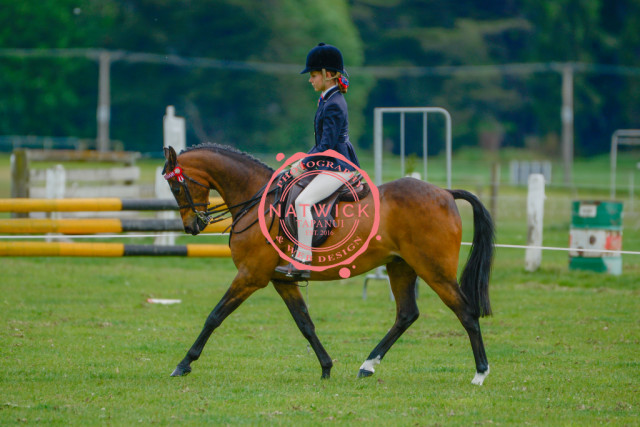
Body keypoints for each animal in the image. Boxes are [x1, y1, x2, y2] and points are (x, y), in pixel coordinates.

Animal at [162, 143, 494, 385]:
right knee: (406, 314)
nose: (192, 226)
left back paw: (480, 373)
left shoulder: (249, 276)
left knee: (465, 312)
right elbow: (305, 324)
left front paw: (183, 364)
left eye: (176, 188)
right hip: (401, 266)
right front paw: (326, 367)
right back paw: (368, 365)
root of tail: (445, 192)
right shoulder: (281, 280)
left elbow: (214, 317)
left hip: (434, 270)